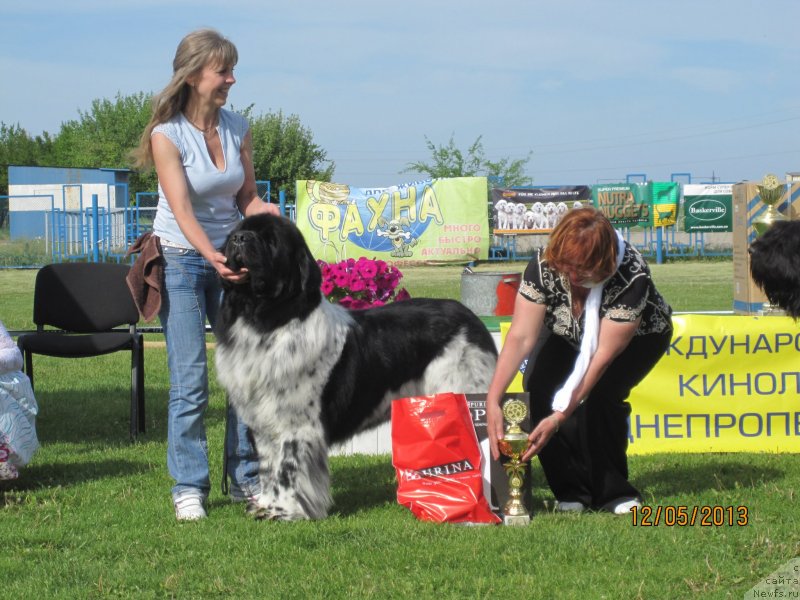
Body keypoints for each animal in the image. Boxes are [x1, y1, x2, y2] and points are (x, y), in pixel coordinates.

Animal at [216, 214, 496, 520]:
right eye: (239, 231)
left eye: (270, 239)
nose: (239, 239)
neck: (267, 320)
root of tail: (471, 318)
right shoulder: (264, 422)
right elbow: (268, 468)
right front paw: (266, 504)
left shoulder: (296, 423)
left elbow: (288, 468)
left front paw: (284, 511)